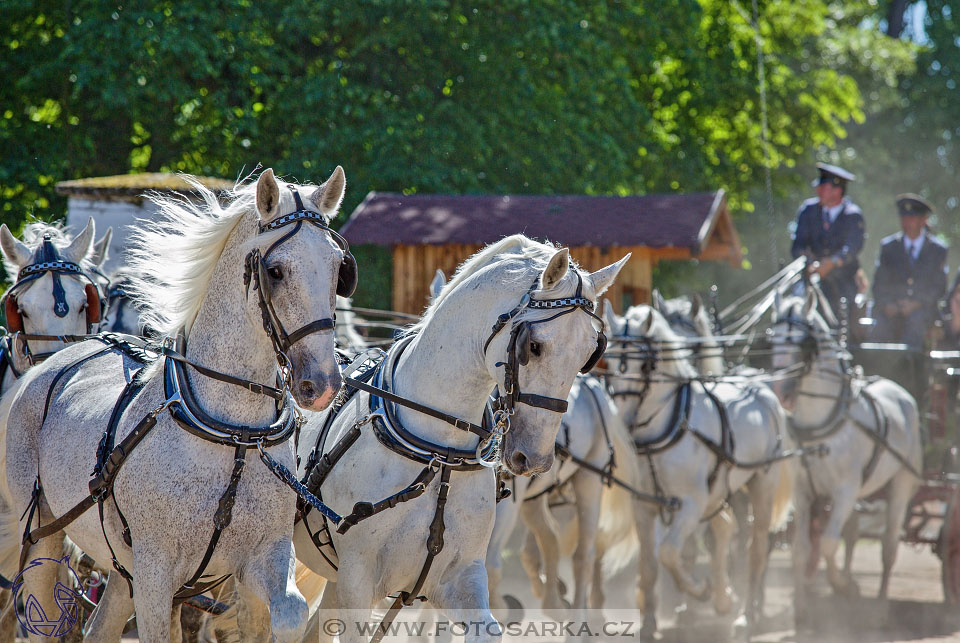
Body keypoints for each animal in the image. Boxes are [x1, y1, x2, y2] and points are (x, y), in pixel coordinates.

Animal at [0, 167, 352, 643]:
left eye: (338, 269)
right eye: (276, 271)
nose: (324, 384)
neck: (234, 433)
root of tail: (51, 364)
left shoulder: (263, 556)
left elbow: (291, 614)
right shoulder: (155, 573)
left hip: (121, 568)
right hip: (42, 532)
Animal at [290, 239, 624, 640]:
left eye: (590, 352)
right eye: (534, 346)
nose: (537, 458)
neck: (440, 452)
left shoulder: (461, 578)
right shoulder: (357, 582)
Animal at [604, 304, 792, 636]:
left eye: (645, 364)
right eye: (610, 359)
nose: (623, 423)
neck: (669, 422)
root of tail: (761, 391)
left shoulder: (690, 503)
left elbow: (668, 553)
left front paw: (698, 590)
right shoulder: (645, 505)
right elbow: (650, 565)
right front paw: (649, 622)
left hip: (760, 485)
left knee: (755, 549)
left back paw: (746, 614)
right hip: (716, 491)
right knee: (725, 528)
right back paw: (723, 597)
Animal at [764, 292, 924, 628]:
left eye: (804, 342)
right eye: (772, 340)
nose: (781, 391)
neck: (823, 419)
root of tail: (900, 392)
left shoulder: (845, 491)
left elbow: (826, 543)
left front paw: (845, 587)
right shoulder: (804, 492)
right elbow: (802, 549)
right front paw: (802, 609)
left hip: (901, 485)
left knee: (888, 547)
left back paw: (880, 607)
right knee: (851, 534)